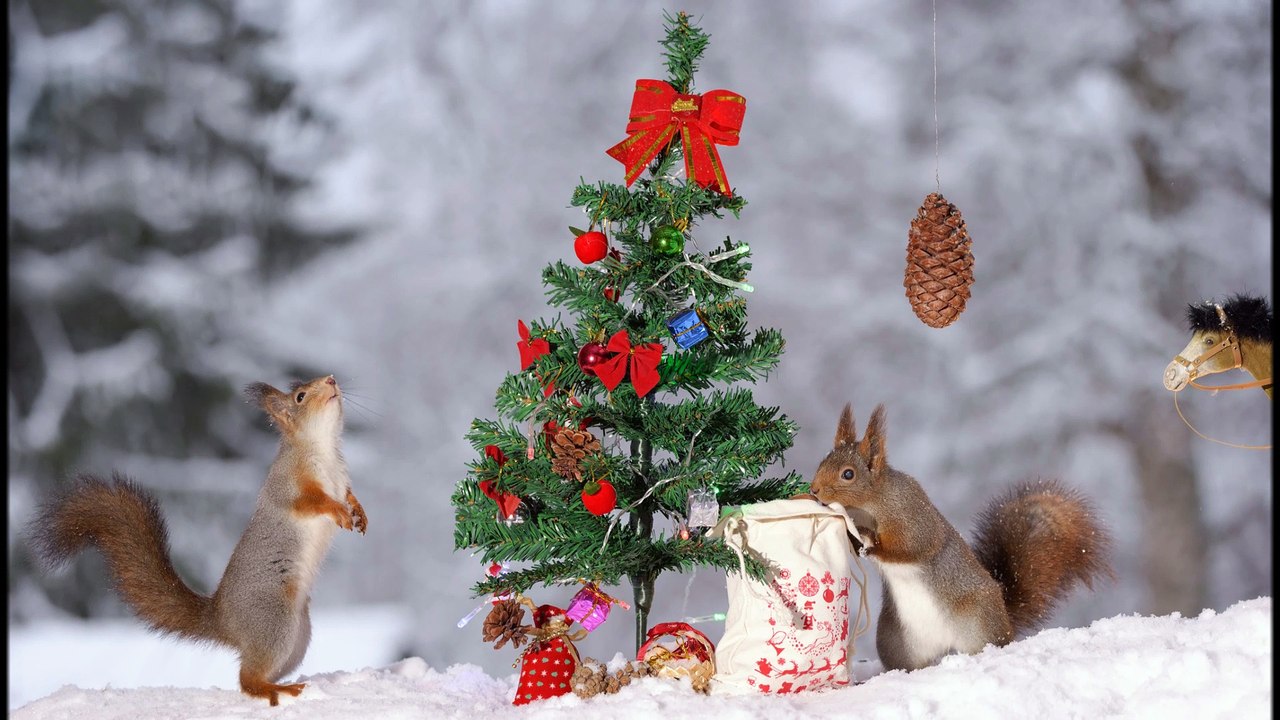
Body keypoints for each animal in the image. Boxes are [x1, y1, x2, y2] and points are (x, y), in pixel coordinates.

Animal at [27, 375, 367, 705]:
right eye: (300, 396)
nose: (332, 380)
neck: (323, 448)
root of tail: (222, 620)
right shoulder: (287, 485)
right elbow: (310, 502)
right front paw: (337, 510)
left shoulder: (342, 479)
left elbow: (349, 495)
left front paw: (359, 513)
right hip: (273, 620)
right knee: (246, 680)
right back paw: (274, 690)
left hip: (297, 637)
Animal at [808, 402, 1112, 672]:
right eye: (822, 461)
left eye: (848, 474)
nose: (814, 490)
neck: (870, 504)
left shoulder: (913, 519)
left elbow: (911, 548)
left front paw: (872, 543)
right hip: (895, 639)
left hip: (978, 622)